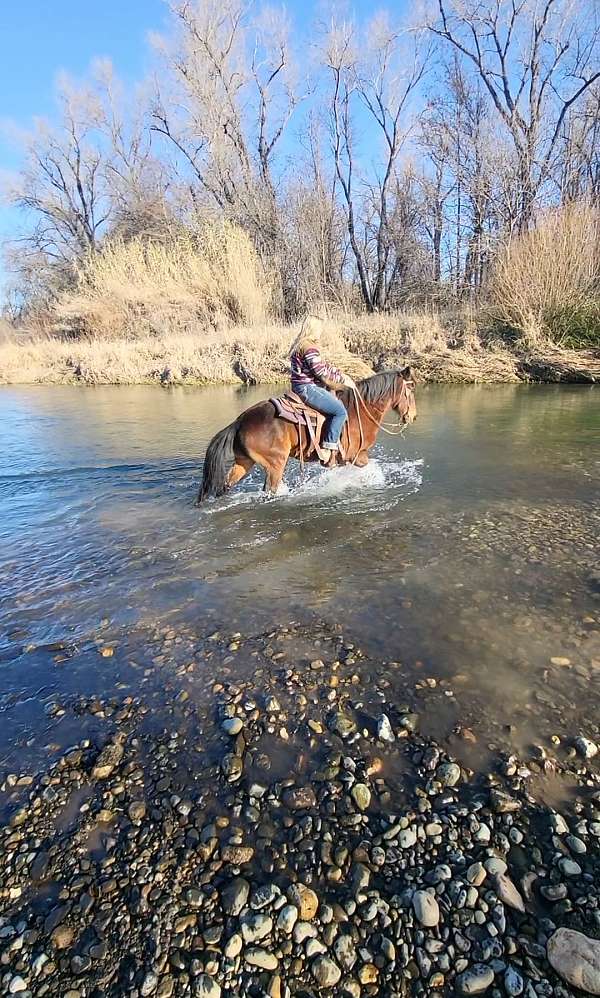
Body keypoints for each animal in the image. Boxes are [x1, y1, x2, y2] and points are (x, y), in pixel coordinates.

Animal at [199, 370, 414, 504]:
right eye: (410, 391)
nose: (412, 416)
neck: (360, 409)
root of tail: (239, 421)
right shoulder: (356, 455)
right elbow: (369, 467)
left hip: (244, 462)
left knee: (225, 485)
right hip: (275, 464)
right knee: (269, 491)